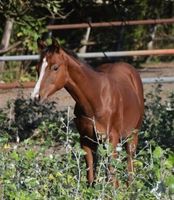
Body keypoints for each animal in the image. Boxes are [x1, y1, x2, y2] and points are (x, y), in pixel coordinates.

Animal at [31, 38, 144, 188]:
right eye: (37, 69)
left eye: (55, 67)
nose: (36, 97)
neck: (96, 98)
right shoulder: (86, 140)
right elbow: (90, 176)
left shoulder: (111, 139)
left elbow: (112, 176)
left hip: (133, 134)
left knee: (130, 160)